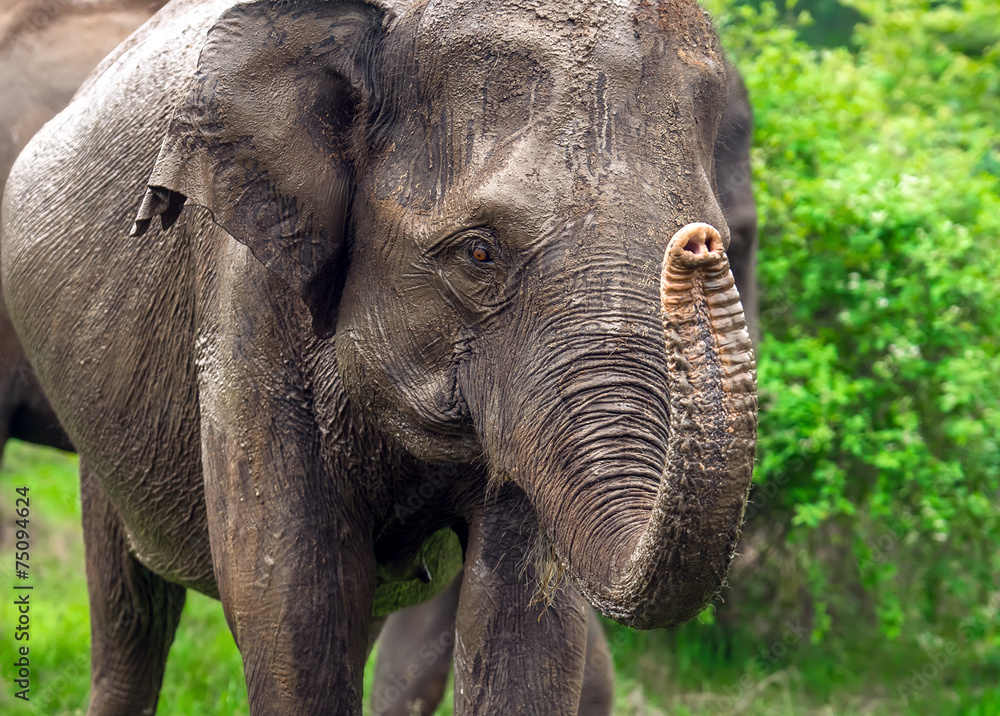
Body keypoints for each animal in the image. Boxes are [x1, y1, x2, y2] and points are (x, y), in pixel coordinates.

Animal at [1, 0, 758, 714]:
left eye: (720, 235)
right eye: (478, 252)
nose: (697, 246)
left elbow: (524, 622)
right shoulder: (247, 290)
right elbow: (295, 601)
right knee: (132, 613)